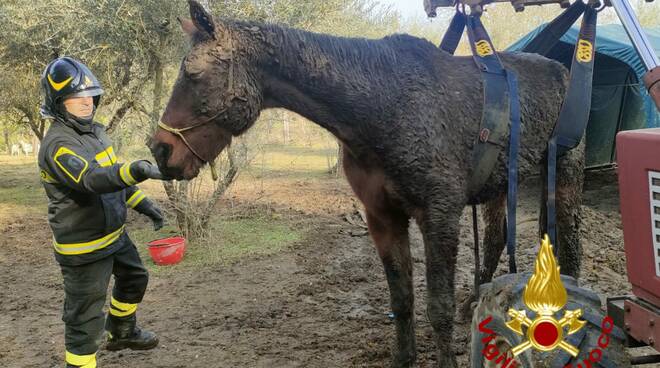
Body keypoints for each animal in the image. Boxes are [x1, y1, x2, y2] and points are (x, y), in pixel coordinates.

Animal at [150, 1, 584, 366]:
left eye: (193, 74)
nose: (160, 150)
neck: (385, 104)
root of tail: (563, 69)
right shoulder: (382, 217)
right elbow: (403, 299)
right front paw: (403, 358)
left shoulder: (439, 217)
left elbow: (437, 308)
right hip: (500, 187)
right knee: (495, 239)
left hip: (564, 173)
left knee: (570, 242)